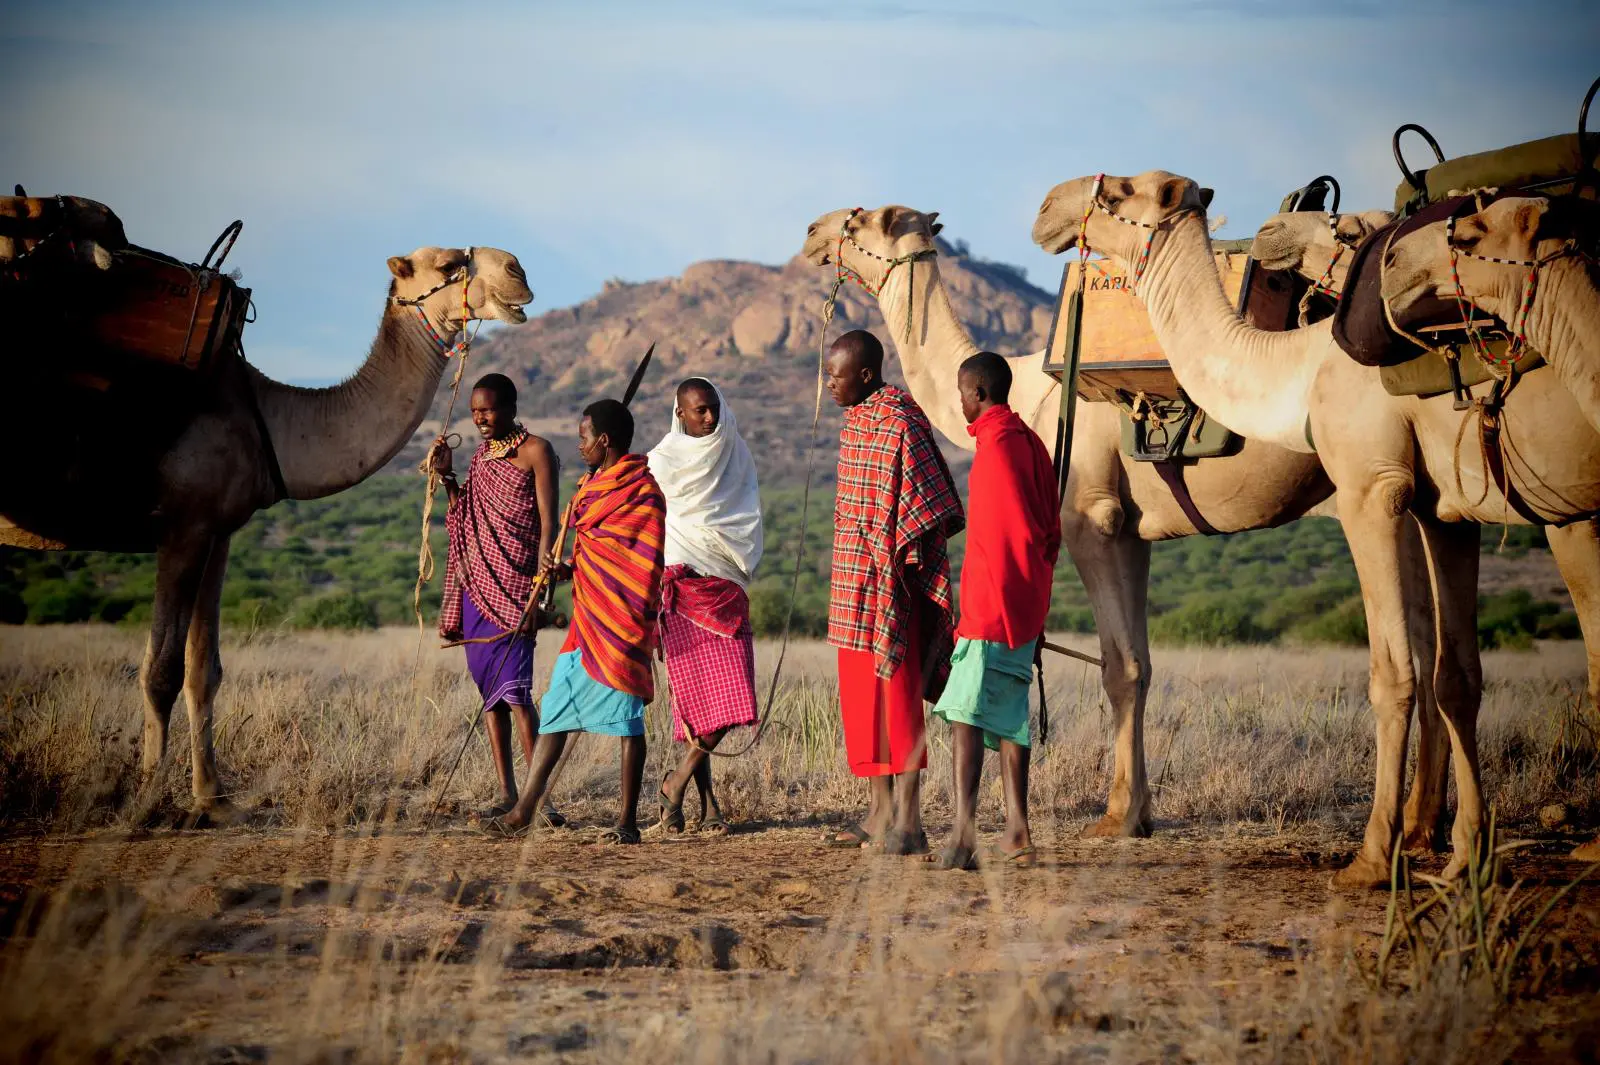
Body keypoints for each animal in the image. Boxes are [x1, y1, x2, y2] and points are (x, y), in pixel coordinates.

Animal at [0, 245, 533, 816]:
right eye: (451, 263)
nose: (518, 272)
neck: (268, 419)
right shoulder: (181, 526)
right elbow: (160, 670)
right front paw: (147, 803)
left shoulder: (216, 531)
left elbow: (202, 670)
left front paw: (213, 800)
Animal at [801, 205, 1334, 838]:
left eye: (863, 220)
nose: (812, 232)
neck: (1032, 392)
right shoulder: (1133, 531)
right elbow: (1142, 664)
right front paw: (1140, 812)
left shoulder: (1091, 517)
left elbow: (1119, 667)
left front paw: (1118, 817)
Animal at [1032, 171, 1600, 886]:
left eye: (1119, 192)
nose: (1047, 206)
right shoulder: (1443, 507)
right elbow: (1456, 675)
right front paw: (1467, 853)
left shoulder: (1369, 488)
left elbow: (1391, 675)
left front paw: (1373, 857)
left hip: (1565, 510)